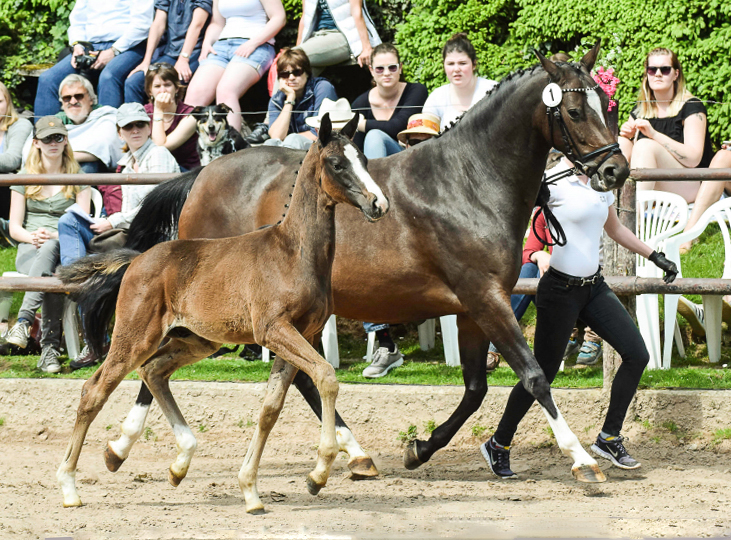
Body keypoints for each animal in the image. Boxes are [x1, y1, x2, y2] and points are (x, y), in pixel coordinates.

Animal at [55, 114, 388, 510]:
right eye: (337, 164)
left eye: (364, 159)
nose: (379, 203)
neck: (294, 253)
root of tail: (137, 259)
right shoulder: (274, 330)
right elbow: (325, 376)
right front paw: (318, 473)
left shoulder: (300, 335)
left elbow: (270, 410)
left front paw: (251, 489)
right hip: (135, 336)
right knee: (95, 391)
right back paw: (70, 487)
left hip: (196, 341)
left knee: (153, 372)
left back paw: (178, 463)